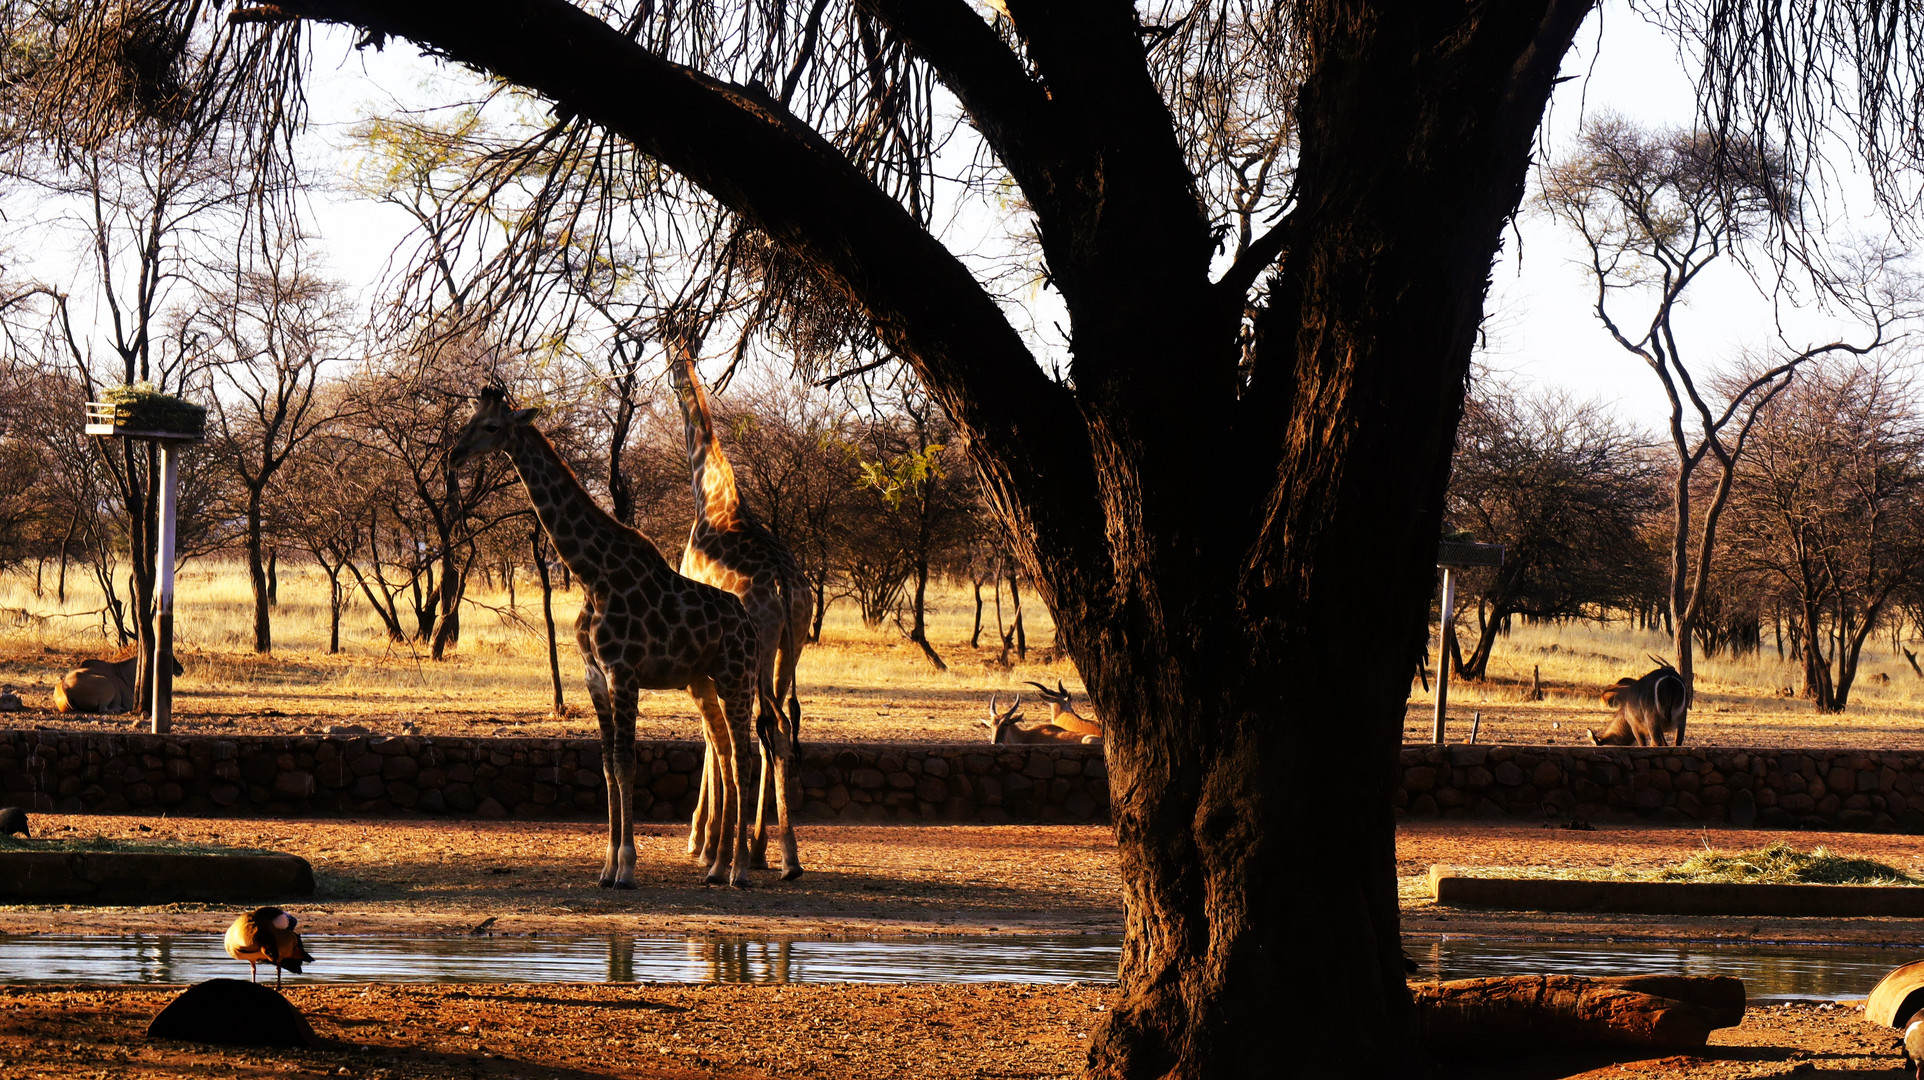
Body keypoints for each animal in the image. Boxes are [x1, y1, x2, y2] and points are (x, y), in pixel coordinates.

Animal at [450, 385, 781, 885]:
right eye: (468, 419)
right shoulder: (595, 676)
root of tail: (748, 625)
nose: (453, 455)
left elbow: (626, 763)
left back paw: (738, 870)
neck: (592, 575)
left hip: (735, 678)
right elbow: (607, 766)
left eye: (490, 426)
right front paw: (606, 867)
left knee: (744, 758)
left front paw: (626, 865)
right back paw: (717, 866)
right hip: (707, 681)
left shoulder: (623, 672)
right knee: (727, 754)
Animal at [669, 340, 811, 881]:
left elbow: (713, 738)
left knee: (766, 728)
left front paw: (702, 840)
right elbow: (720, 737)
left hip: (759, 653)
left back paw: (768, 853)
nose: (673, 373)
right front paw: (716, 840)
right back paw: (774, 850)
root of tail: (783, 586)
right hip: (790, 646)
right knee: (783, 726)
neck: (710, 495)